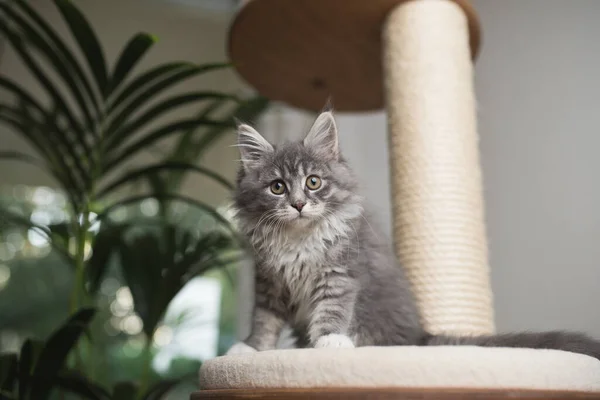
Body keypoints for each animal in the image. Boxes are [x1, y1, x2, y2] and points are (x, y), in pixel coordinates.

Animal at [226, 109, 600, 360]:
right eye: (277, 187)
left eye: (313, 182)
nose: (299, 204)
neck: (299, 238)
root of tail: (420, 337)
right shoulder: (269, 282)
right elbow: (264, 320)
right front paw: (249, 349)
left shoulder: (340, 272)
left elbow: (332, 309)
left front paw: (329, 341)